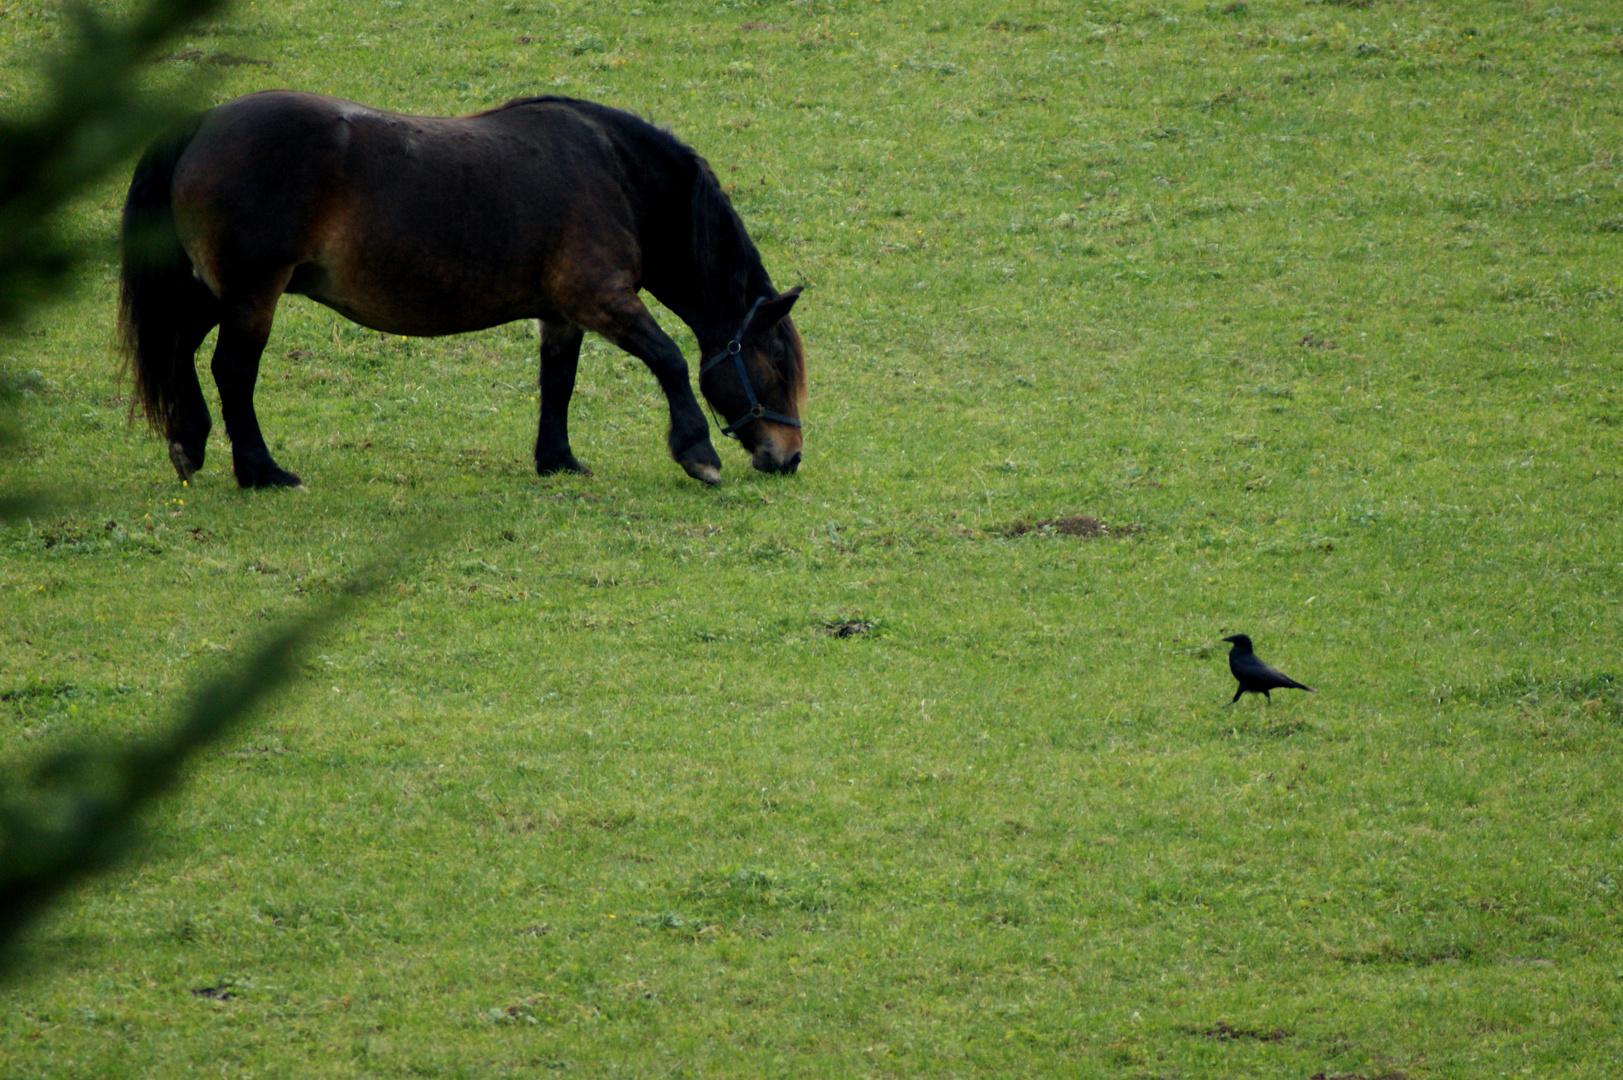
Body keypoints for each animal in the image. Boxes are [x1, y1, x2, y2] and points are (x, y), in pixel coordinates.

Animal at [116, 90, 805, 487]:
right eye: (774, 365)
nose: (789, 456)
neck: (614, 172)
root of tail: (201, 123)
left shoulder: (563, 314)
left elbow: (558, 383)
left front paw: (557, 460)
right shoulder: (601, 299)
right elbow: (669, 360)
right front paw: (697, 452)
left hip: (218, 291)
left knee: (178, 348)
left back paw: (190, 442)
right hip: (252, 295)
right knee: (232, 370)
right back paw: (260, 471)